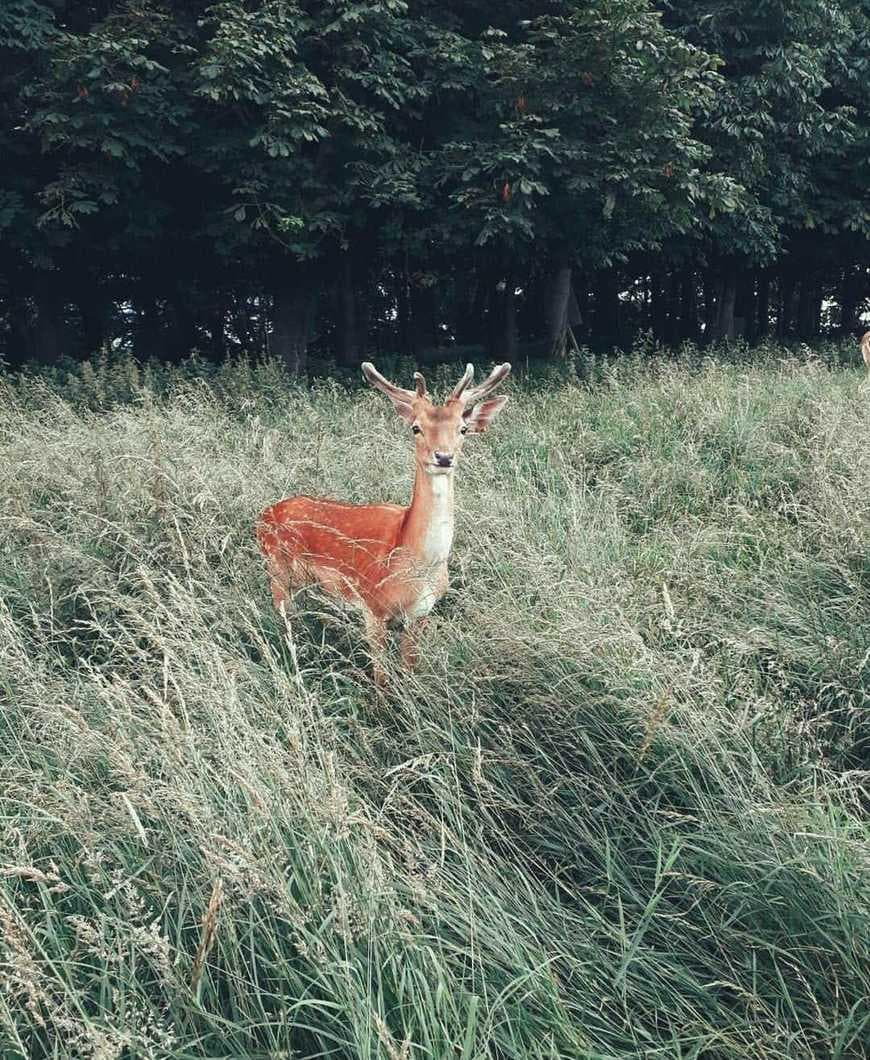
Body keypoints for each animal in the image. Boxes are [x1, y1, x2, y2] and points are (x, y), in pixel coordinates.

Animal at [254, 360, 508, 682]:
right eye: (416, 428)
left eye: (462, 429)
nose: (443, 457)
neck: (416, 564)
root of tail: (264, 513)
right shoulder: (372, 608)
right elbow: (382, 680)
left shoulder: (421, 614)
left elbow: (410, 669)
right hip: (277, 571)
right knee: (283, 622)